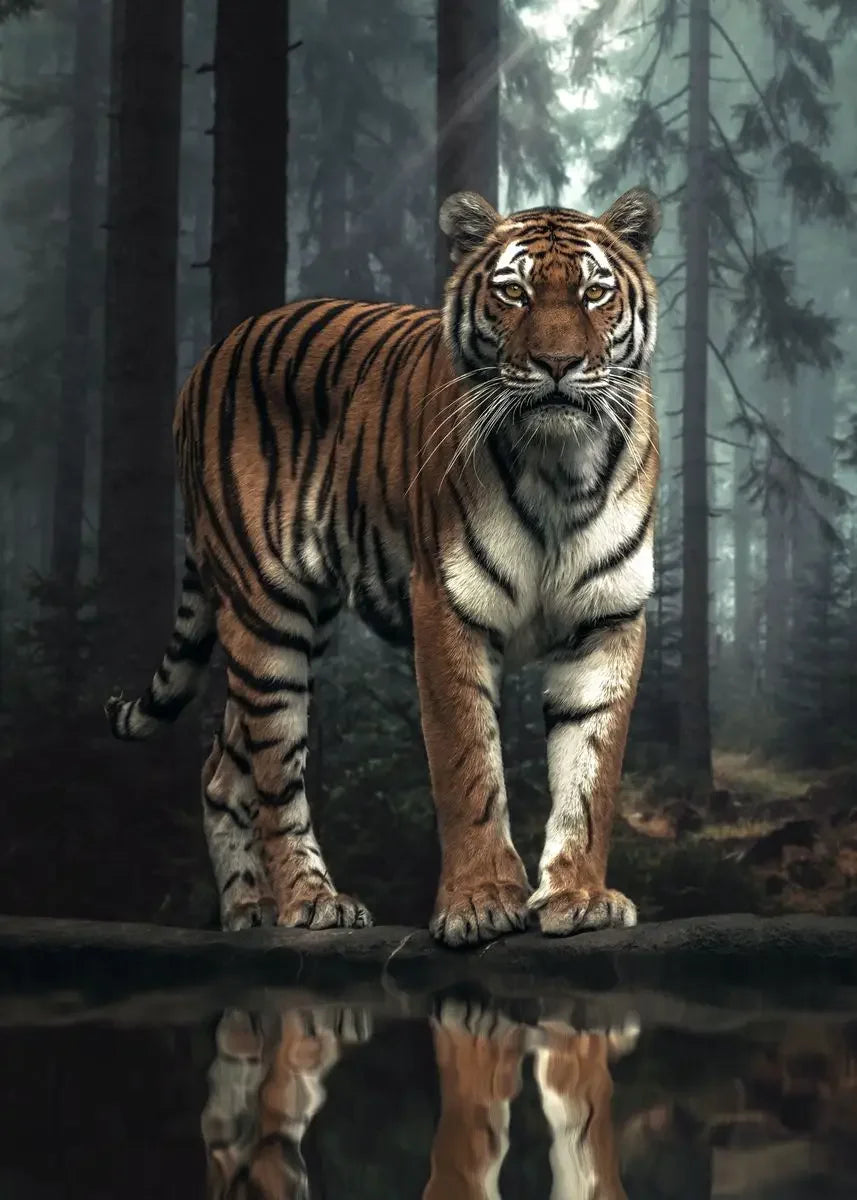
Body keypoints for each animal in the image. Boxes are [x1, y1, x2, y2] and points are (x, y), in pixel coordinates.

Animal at [106, 185, 661, 947]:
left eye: (594, 292)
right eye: (512, 293)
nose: (557, 364)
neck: (560, 467)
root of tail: (210, 355)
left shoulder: (607, 619)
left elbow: (590, 773)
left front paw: (578, 897)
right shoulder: (447, 605)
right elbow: (468, 765)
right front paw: (480, 903)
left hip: (296, 624)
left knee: (224, 767)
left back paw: (247, 914)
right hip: (266, 616)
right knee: (274, 773)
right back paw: (309, 903)